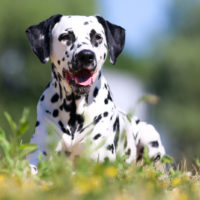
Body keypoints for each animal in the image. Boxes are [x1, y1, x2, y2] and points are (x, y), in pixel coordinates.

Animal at [25, 14, 166, 173]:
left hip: (150, 138)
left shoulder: (100, 160)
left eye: (97, 37)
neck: (74, 112)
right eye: (66, 36)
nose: (86, 55)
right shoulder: (38, 153)